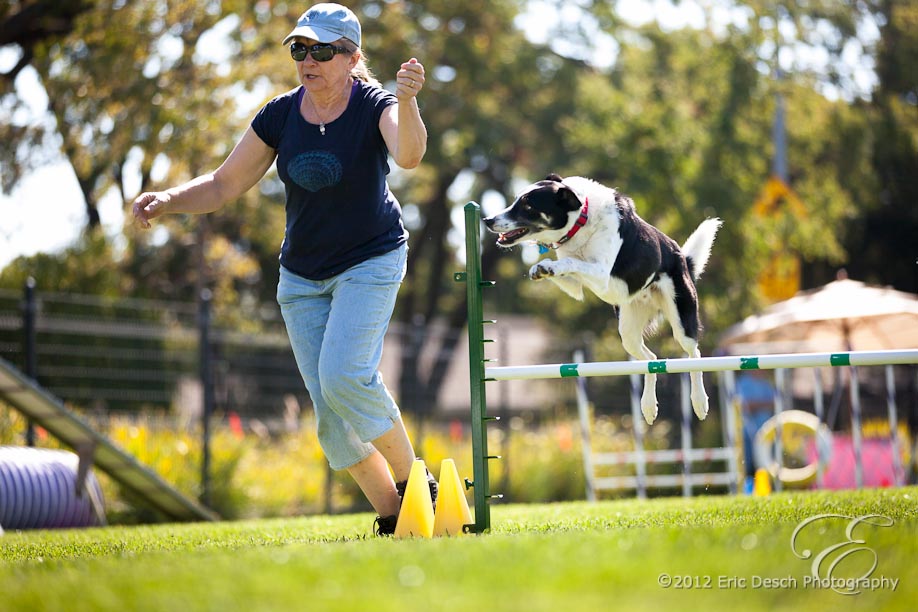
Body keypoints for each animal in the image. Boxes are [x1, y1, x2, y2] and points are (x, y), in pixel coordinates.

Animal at [486, 175, 724, 424]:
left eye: (528, 206)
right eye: (516, 200)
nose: (487, 220)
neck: (581, 220)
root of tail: (683, 258)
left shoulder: (600, 274)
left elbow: (570, 262)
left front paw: (548, 265)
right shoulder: (576, 286)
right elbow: (565, 267)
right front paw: (540, 268)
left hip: (681, 319)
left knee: (694, 355)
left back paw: (699, 402)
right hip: (628, 332)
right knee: (652, 360)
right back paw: (648, 406)